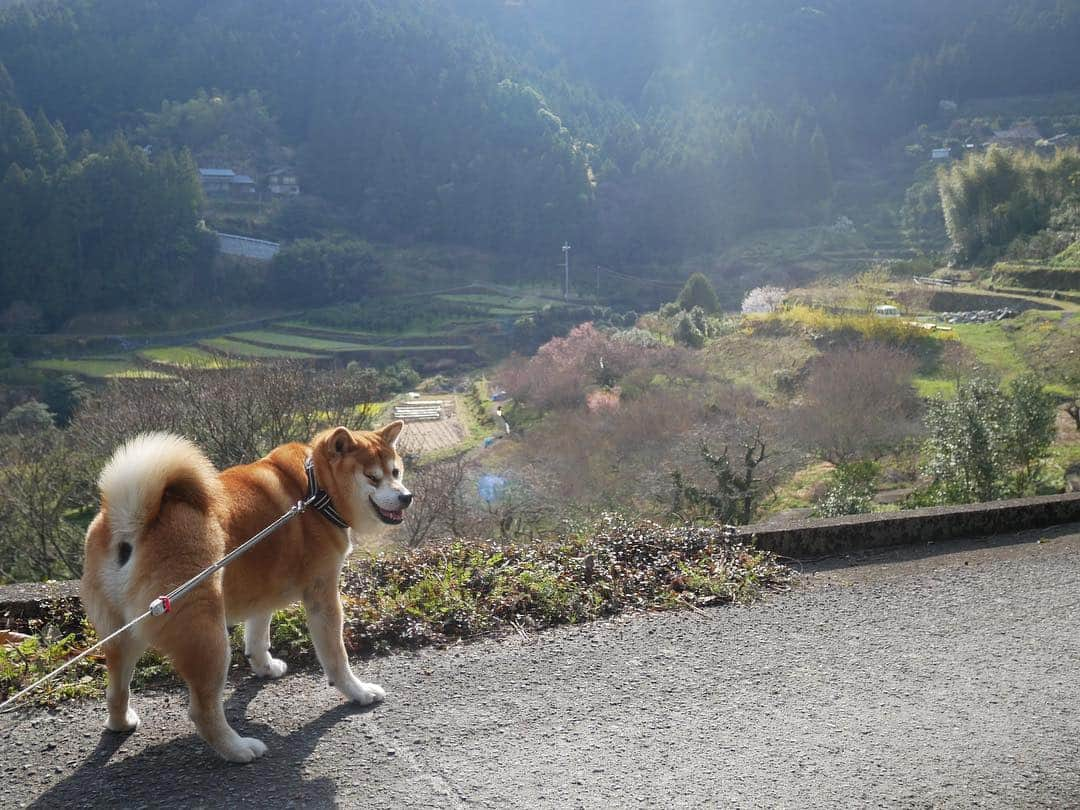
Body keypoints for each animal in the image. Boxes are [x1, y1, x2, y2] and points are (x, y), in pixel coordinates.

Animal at [81, 421, 412, 764]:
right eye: (372, 477)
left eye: (396, 471)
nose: (406, 497)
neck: (315, 490)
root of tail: (132, 525)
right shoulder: (322, 594)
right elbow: (336, 657)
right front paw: (358, 692)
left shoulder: (263, 588)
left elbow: (257, 634)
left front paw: (264, 666)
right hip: (208, 638)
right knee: (202, 711)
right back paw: (238, 749)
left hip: (122, 635)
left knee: (115, 689)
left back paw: (121, 722)